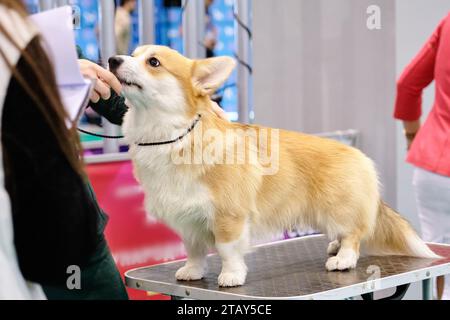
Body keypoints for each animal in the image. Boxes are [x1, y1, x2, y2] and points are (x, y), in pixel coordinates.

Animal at [109, 45, 440, 288]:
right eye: (132, 53)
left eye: (153, 62)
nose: (112, 60)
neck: (170, 136)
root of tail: (357, 154)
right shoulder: (188, 221)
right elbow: (194, 250)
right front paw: (192, 270)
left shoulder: (229, 217)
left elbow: (227, 250)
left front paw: (231, 276)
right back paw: (334, 247)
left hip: (338, 208)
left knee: (353, 235)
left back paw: (342, 258)